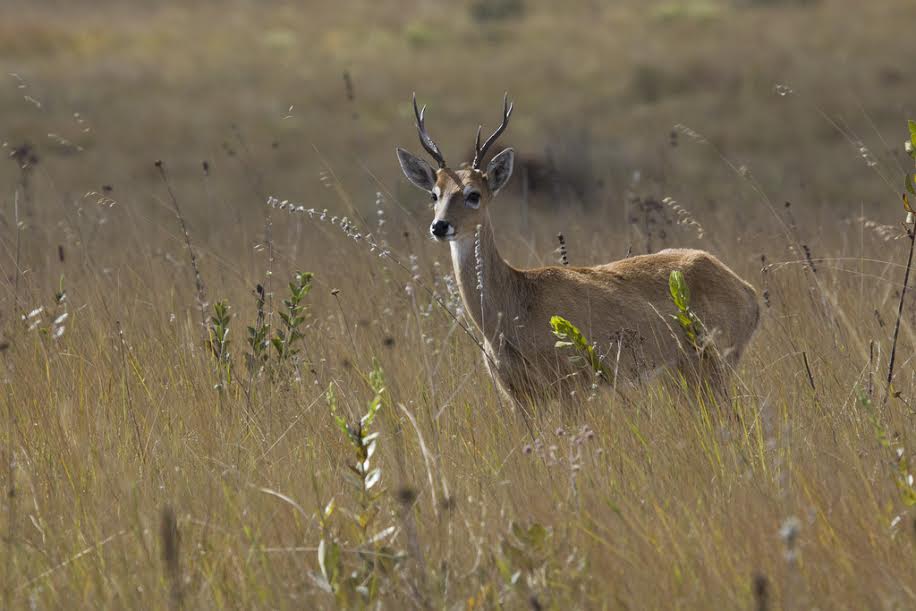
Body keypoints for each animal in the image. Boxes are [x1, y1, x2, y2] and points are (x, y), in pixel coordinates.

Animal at [396, 93, 760, 404]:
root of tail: (748, 291)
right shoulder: (518, 396)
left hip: (714, 362)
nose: (440, 226)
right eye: (434, 193)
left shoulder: (571, 384)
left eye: (474, 194)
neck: (513, 309)